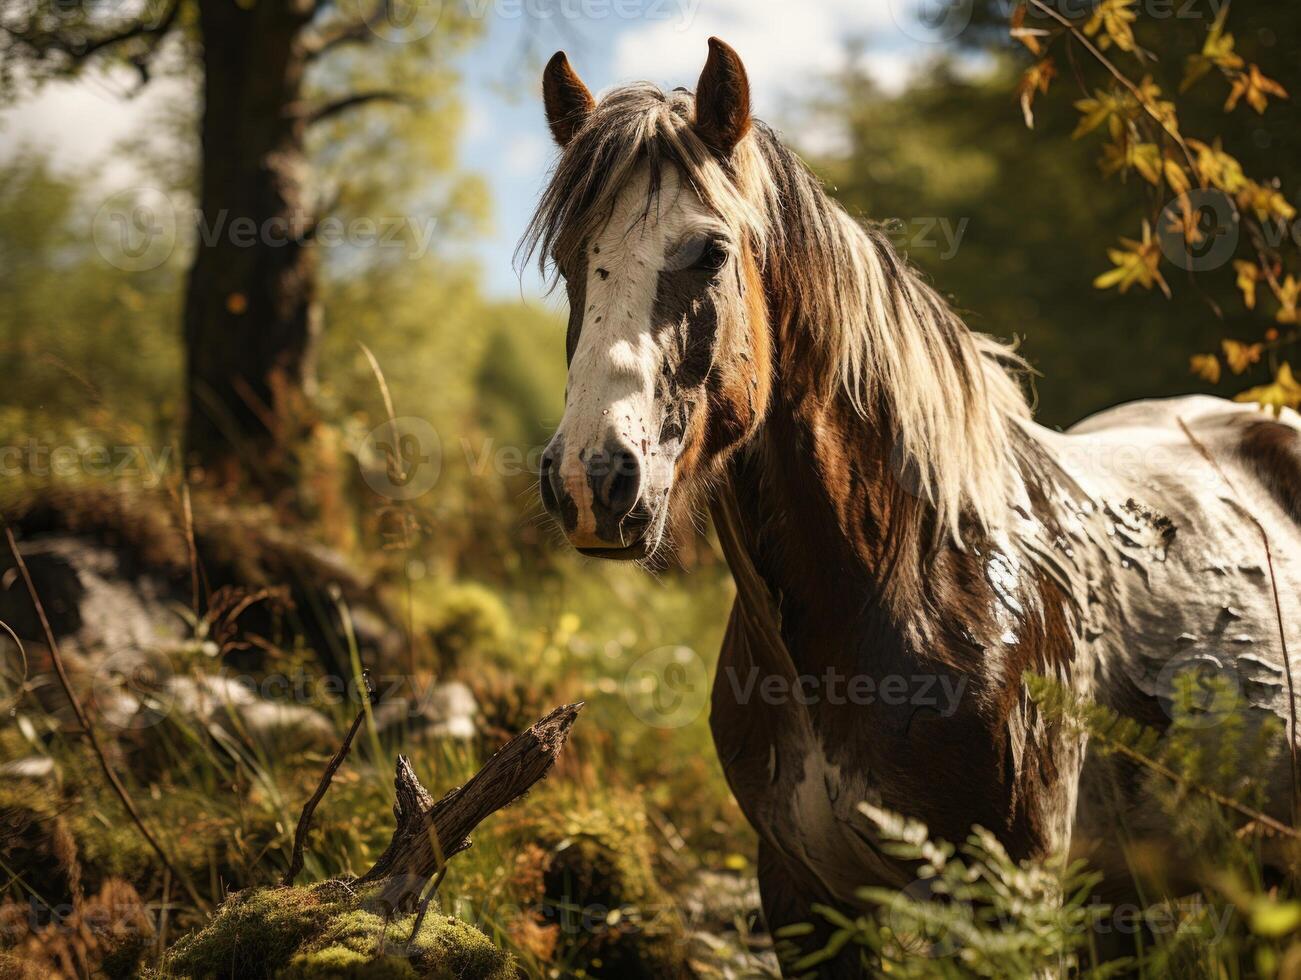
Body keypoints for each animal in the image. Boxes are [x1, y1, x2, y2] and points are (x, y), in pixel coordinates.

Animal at [520, 38, 1301, 973]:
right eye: (569, 259)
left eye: (707, 252)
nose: (591, 480)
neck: (911, 579)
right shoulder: (802, 900)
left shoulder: (1009, 906)